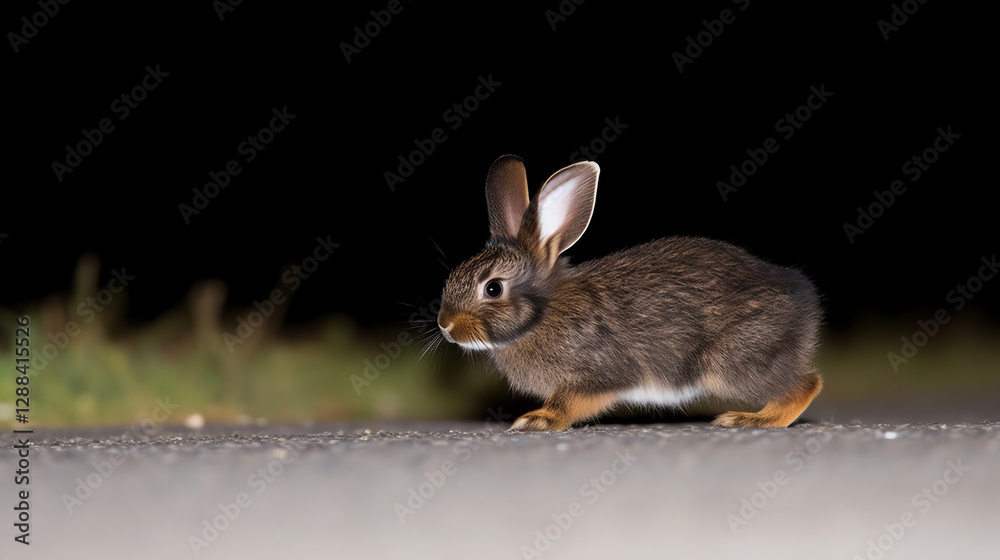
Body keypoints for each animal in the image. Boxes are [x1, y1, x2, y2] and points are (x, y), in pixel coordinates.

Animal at [437, 155, 822, 431]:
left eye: (493, 288)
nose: (445, 325)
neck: (542, 314)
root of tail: (805, 305)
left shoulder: (597, 375)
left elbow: (570, 402)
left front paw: (539, 419)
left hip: (734, 363)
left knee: (807, 384)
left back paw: (754, 419)